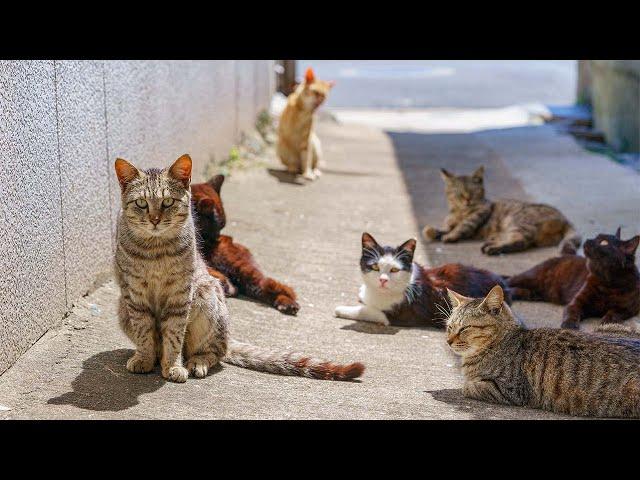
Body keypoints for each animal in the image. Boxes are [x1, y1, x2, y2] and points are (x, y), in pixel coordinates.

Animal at [336, 232, 510, 328]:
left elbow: (368, 310)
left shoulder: (401, 316)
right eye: (375, 267)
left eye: (394, 270)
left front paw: (342, 309)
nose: (382, 280)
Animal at [420, 166, 580, 255]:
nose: (467, 199)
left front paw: (450, 236)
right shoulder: (449, 224)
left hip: (517, 222)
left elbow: (461, 227)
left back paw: (492, 248)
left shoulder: (478, 214)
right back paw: (491, 242)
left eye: (473, 191)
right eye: (458, 193)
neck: (458, 211)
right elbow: (441, 229)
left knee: (520, 242)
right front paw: (432, 231)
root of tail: (565, 219)